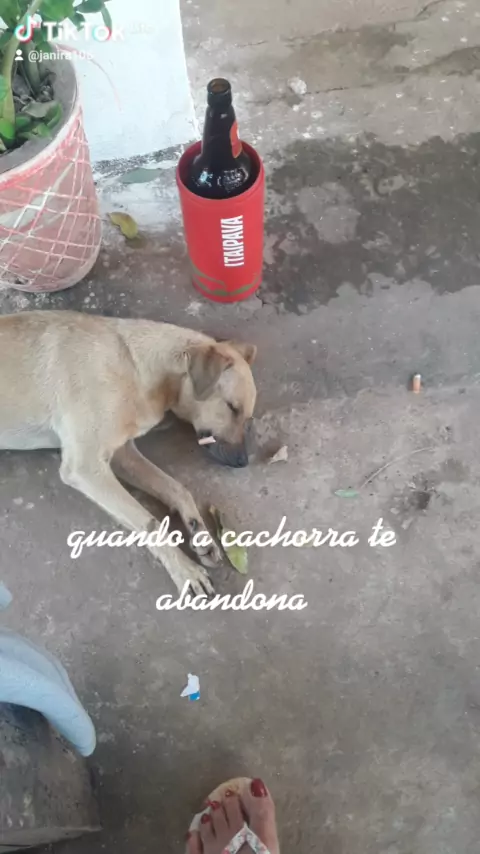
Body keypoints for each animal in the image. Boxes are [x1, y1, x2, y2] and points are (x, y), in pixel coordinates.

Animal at [0, 311, 257, 595]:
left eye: (247, 417)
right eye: (232, 407)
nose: (242, 462)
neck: (135, 367)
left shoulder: (123, 454)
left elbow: (177, 488)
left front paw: (200, 533)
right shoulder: (86, 467)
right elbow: (149, 522)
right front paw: (185, 570)